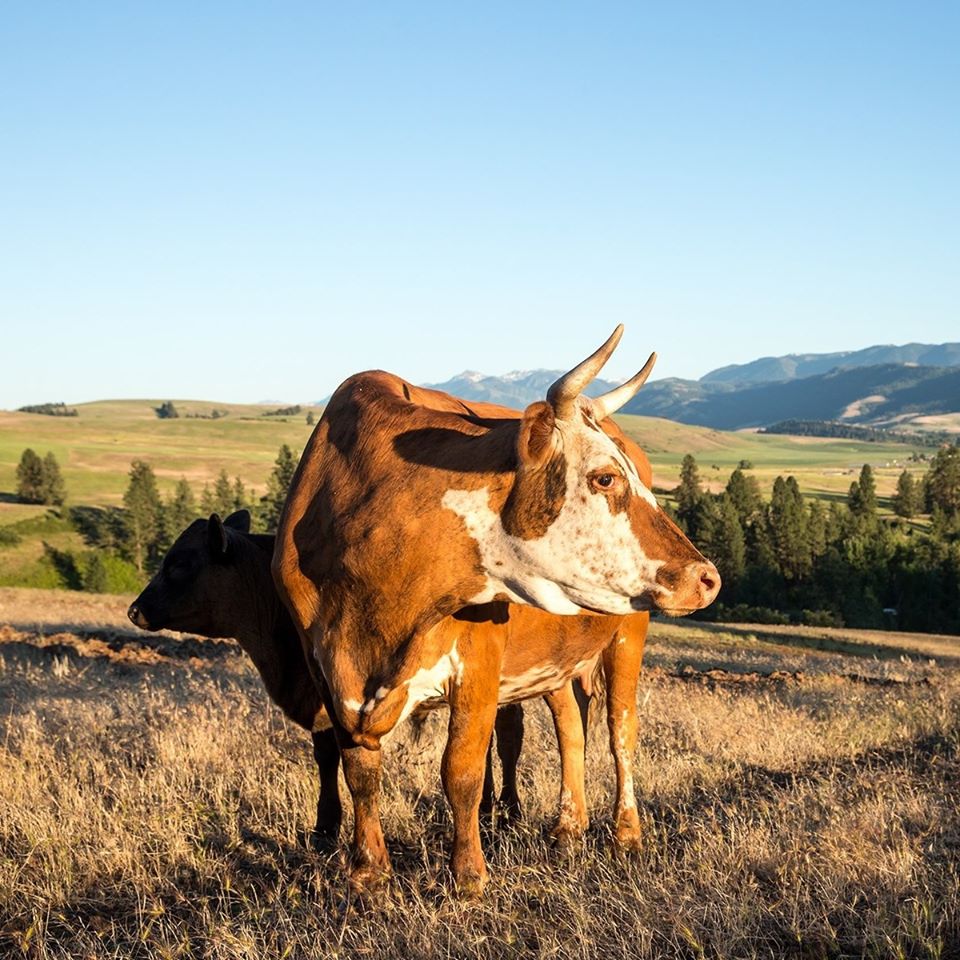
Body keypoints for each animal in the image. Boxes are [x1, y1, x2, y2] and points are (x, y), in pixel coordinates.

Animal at [274, 328, 716, 892]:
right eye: (605, 478)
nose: (707, 577)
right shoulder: (326, 671)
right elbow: (360, 771)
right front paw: (368, 873)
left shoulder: (479, 662)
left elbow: (461, 770)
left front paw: (468, 878)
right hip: (554, 658)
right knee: (571, 727)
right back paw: (567, 829)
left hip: (629, 631)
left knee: (621, 730)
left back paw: (626, 835)